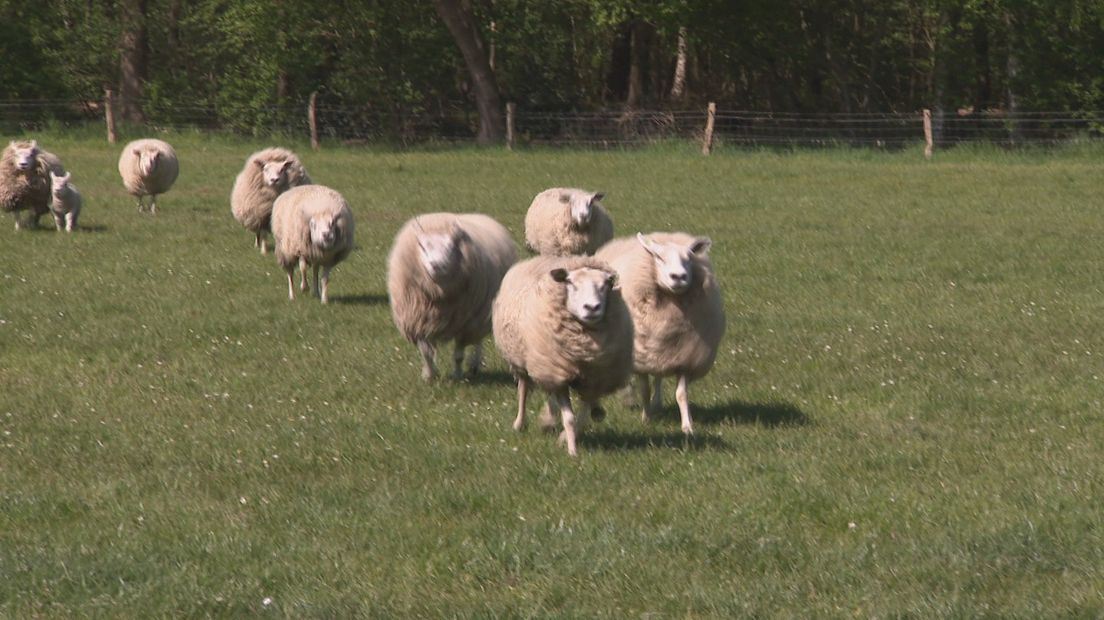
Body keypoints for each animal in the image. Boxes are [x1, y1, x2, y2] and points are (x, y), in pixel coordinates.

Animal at [388, 210, 516, 381]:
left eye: (451, 247)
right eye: (422, 246)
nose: (437, 265)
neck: (439, 296)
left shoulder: (464, 325)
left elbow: (458, 356)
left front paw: (458, 376)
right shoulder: (418, 321)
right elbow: (426, 353)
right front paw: (430, 375)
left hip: (482, 314)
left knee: (478, 341)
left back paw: (475, 365)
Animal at [490, 253, 631, 456]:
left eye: (606, 284)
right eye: (570, 283)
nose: (592, 307)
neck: (583, 350)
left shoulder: (593, 379)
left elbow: (582, 417)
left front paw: (565, 438)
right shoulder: (559, 377)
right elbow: (570, 418)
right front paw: (572, 451)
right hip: (523, 361)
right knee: (524, 389)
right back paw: (520, 423)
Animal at [596, 231, 724, 434]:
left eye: (688, 259)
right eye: (659, 258)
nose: (679, 276)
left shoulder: (685, 357)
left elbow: (681, 394)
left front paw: (687, 426)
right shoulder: (640, 359)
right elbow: (645, 390)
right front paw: (646, 419)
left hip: (661, 352)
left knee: (658, 376)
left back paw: (657, 404)